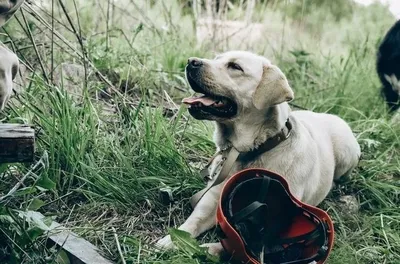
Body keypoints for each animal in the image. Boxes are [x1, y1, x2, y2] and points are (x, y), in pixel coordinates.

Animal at [155, 50, 360, 256]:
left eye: (235, 66)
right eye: (216, 58)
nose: (191, 61)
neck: (253, 150)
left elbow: (233, 244)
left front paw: (206, 248)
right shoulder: (213, 198)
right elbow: (193, 221)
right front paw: (172, 239)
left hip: (346, 151)